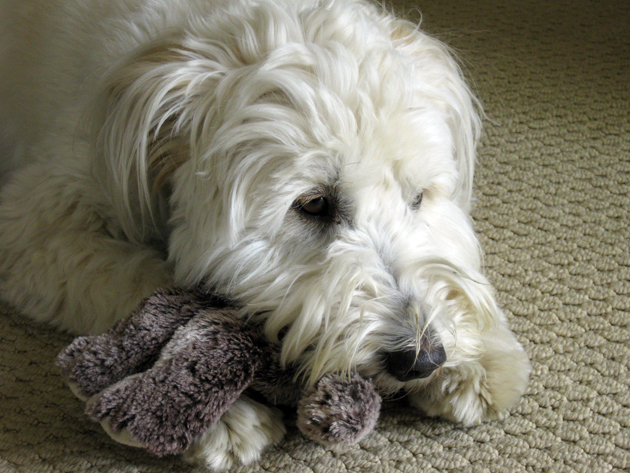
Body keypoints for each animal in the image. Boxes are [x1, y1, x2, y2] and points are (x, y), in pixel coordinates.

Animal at [0, 0, 530, 469]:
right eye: (313, 204)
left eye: (418, 197)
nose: (422, 359)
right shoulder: (36, 225)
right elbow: (147, 282)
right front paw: (217, 414)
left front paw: (480, 352)